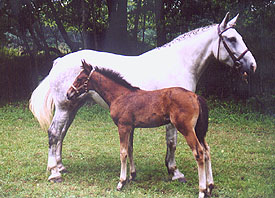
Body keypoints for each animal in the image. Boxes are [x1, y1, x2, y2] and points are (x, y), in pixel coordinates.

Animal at [67, 60, 216, 198]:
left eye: (79, 78)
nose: (68, 94)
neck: (120, 95)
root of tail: (195, 96)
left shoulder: (123, 127)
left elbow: (123, 153)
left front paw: (121, 182)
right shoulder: (130, 127)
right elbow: (130, 149)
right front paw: (132, 176)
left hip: (186, 129)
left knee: (199, 153)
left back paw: (202, 190)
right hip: (198, 130)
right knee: (207, 151)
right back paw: (210, 187)